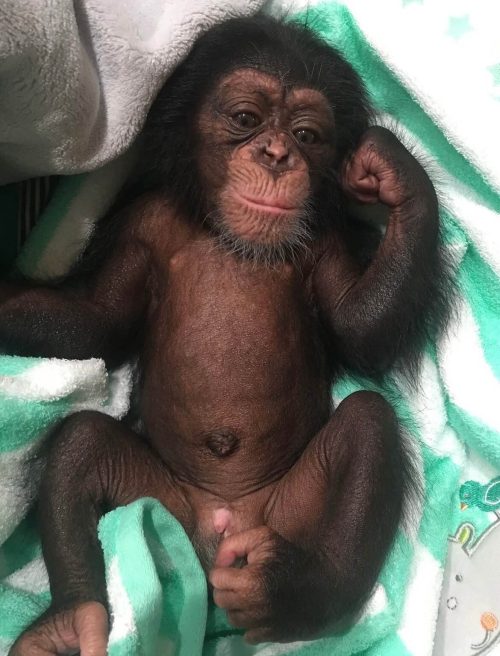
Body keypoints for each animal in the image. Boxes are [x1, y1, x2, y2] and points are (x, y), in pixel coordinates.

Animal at [1, 14, 450, 655]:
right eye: (245, 118)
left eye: (308, 134)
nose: (277, 153)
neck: (228, 236)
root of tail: (220, 530)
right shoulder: (139, 226)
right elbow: (96, 321)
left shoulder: (325, 240)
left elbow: (360, 328)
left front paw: (394, 171)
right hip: (159, 499)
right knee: (81, 447)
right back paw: (69, 619)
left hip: (285, 514)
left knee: (369, 427)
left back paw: (287, 591)